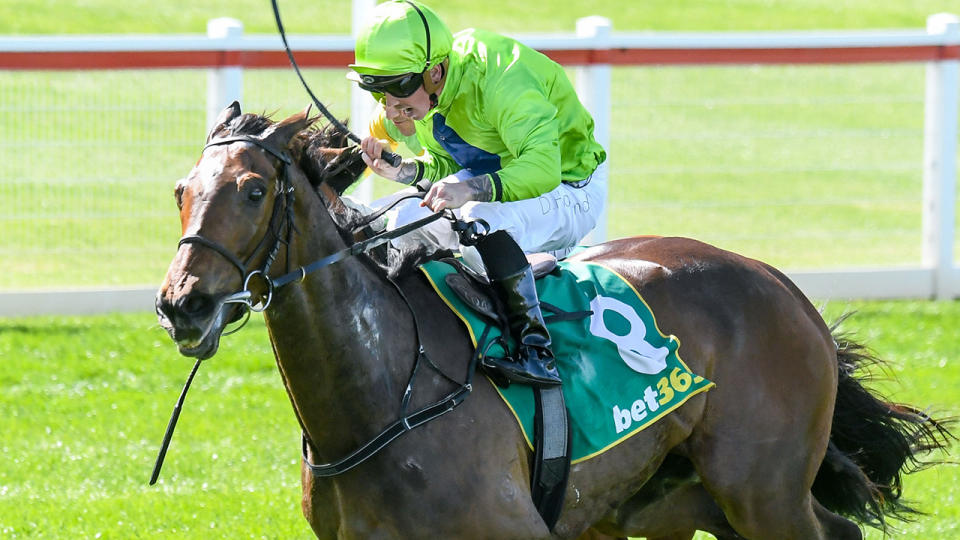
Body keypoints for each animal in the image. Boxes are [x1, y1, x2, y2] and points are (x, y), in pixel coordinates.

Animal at [158, 102, 952, 540]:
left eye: (254, 190)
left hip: (761, 489)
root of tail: (778, 282)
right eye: (181, 190)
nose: (181, 303)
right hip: (660, 502)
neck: (387, 394)